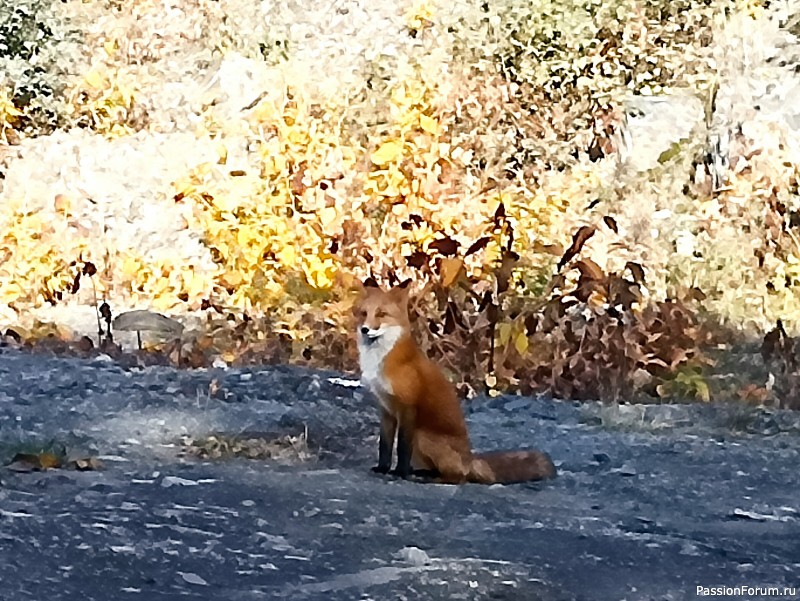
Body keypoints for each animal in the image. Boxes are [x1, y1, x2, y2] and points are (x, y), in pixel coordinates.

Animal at [356, 278, 556, 486]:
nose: (365, 329)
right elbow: (385, 445)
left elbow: (403, 447)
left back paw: (429, 478)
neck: (381, 360)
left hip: (421, 436)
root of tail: (469, 459)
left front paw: (399, 472)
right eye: (364, 313)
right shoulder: (385, 408)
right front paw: (383, 468)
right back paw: (422, 473)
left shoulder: (408, 407)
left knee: (458, 477)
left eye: (381, 314)